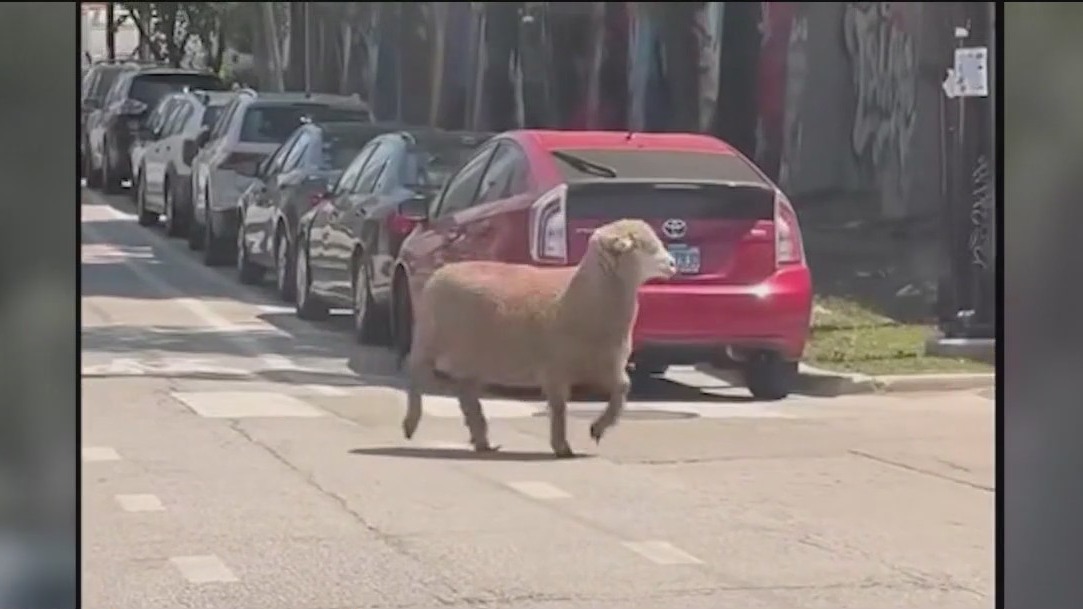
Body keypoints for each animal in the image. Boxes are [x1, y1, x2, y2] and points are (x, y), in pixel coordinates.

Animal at [401, 218, 678, 458]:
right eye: (645, 246)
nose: (673, 263)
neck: (585, 295)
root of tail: (440, 272)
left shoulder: (608, 363)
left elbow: (622, 389)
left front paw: (598, 428)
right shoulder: (556, 368)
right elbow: (559, 407)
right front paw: (562, 446)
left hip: (473, 356)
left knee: (466, 395)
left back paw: (482, 441)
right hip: (429, 338)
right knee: (415, 376)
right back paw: (411, 423)